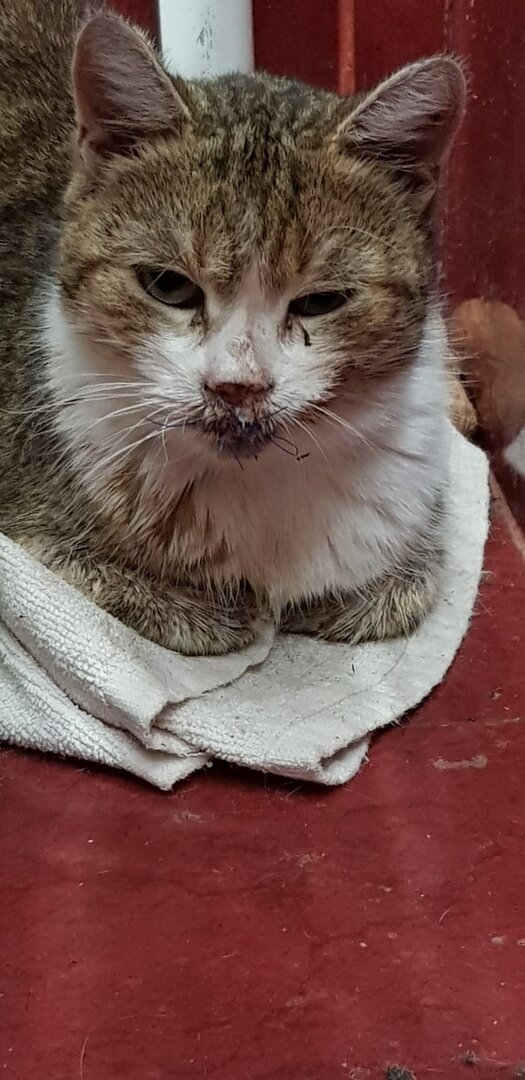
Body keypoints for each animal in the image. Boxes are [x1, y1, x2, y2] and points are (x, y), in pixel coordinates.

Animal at [0, 0, 466, 655]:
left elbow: (403, 592)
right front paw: (216, 609)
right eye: (167, 285)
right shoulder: (28, 523)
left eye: (322, 301)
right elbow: (107, 579)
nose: (236, 388)